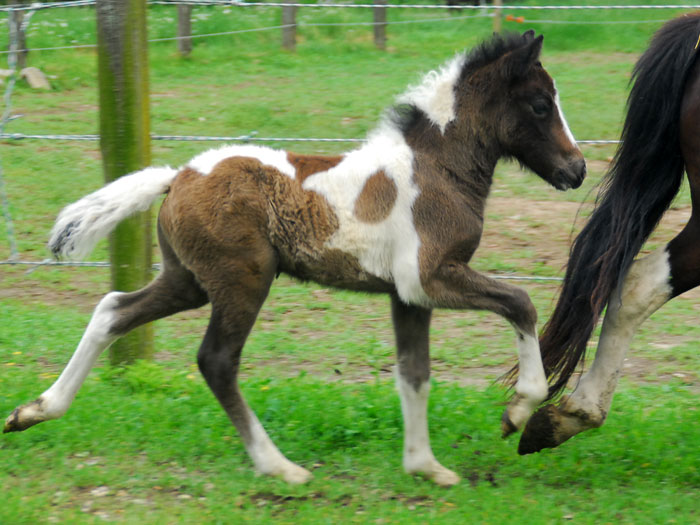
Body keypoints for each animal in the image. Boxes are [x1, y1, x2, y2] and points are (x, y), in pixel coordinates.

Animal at [4, 31, 585, 485]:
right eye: (540, 104)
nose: (576, 170)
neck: (434, 170)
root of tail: (178, 176)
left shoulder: (408, 294)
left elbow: (414, 372)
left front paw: (425, 466)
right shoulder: (430, 278)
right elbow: (520, 302)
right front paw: (518, 411)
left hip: (187, 280)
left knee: (112, 310)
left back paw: (34, 411)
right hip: (243, 280)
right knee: (216, 360)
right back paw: (279, 466)